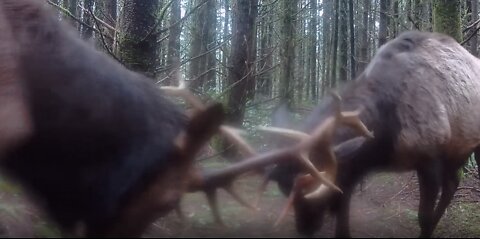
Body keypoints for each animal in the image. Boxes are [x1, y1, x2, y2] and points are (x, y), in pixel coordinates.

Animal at [258, 30, 480, 238]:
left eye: (311, 190)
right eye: (285, 189)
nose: (305, 228)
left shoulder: (430, 159)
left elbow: (423, 217)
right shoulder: (352, 166)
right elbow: (343, 212)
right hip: (457, 152)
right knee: (453, 184)